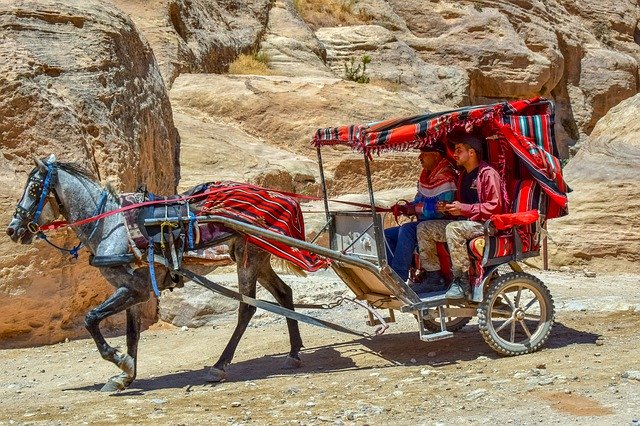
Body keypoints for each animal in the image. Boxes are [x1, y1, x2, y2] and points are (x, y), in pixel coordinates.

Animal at [4, 155, 304, 392]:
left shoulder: (133, 289)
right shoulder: (136, 291)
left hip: (248, 260)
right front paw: (126, 376)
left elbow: (91, 318)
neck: (111, 225)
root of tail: (278, 197)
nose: (12, 229)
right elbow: (131, 334)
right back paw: (294, 353)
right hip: (258, 260)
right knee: (284, 293)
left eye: (34, 188)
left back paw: (220, 366)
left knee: (247, 308)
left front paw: (119, 360)